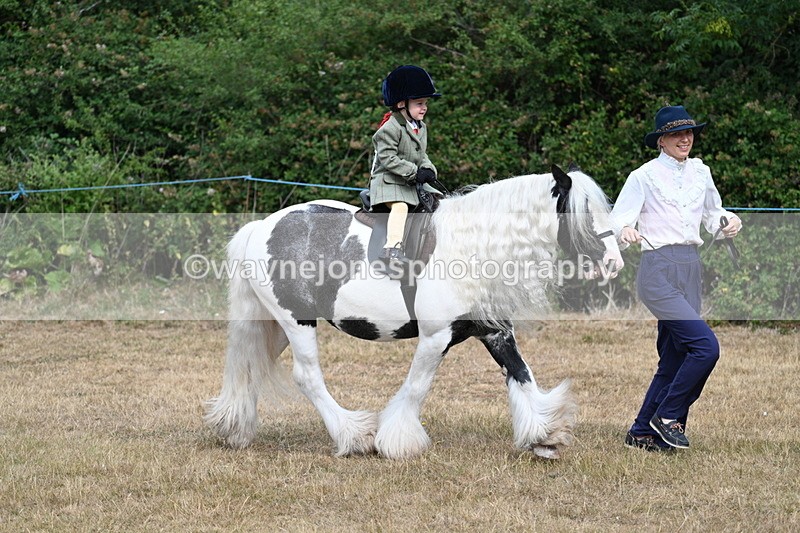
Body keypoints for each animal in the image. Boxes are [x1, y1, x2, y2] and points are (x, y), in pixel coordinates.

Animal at [204, 165, 623, 460]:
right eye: (584, 214)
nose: (614, 263)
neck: (473, 247)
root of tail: (262, 225)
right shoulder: (436, 337)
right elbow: (417, 386)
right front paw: (397, 441)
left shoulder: (494, 331)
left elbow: (521, 375)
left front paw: (544, 435)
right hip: (296, 321)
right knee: (307, 377)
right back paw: (353, 435)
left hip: (275, 325)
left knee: (253, 365)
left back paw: (235, 429)